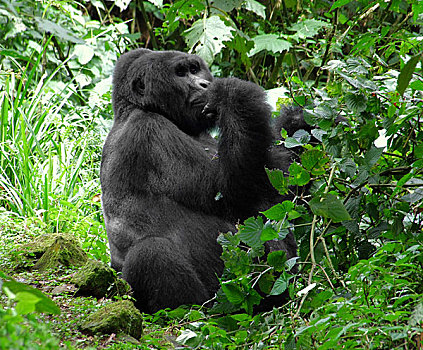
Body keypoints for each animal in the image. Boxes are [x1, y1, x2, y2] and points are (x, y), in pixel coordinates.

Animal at [100, 48, 302, 312]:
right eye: (181, 73)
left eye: (195, 69)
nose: (204, 84)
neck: (133, 107)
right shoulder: (150, 131)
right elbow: (234, 191)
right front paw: (233, 94)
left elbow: (277, 187)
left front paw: (298, 122)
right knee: (150, 252)